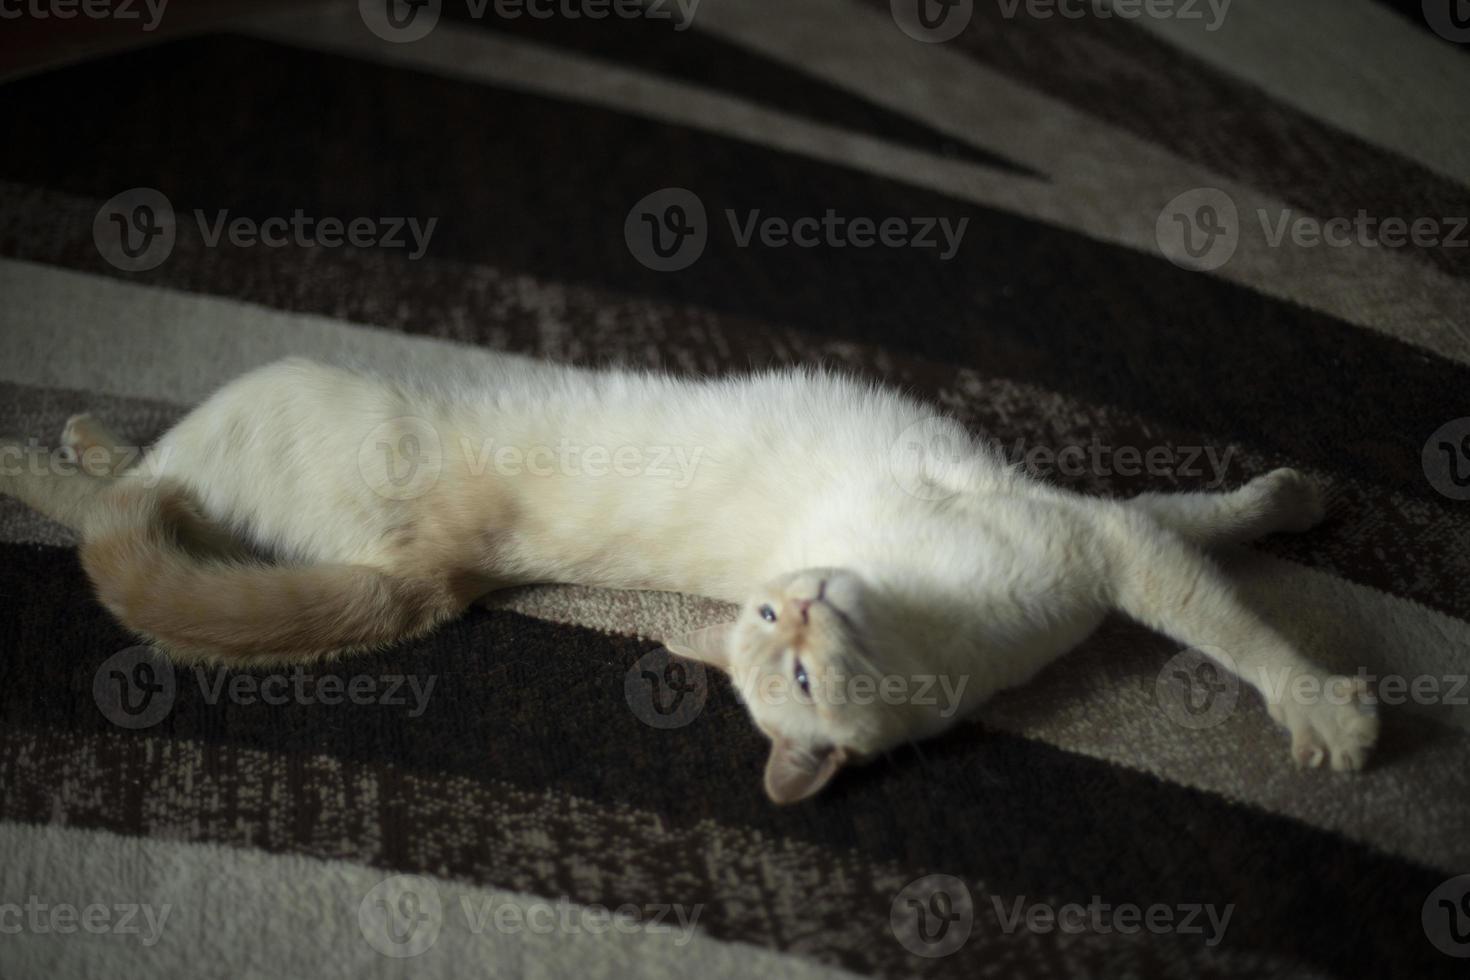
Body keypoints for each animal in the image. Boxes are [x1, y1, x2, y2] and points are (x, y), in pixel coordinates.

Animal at [0, 357, 1375, 799]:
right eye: (774, 630)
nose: (804, 599)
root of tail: (437, 571)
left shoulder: (1104, 544)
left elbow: (1211, 527)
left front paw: (1295, 500)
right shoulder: (1105, 542)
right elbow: (1231, 615)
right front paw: (1330, 711)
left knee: (138, 498)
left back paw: (70, 444)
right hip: (274, 392)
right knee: (126, 495)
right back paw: (59, 445)